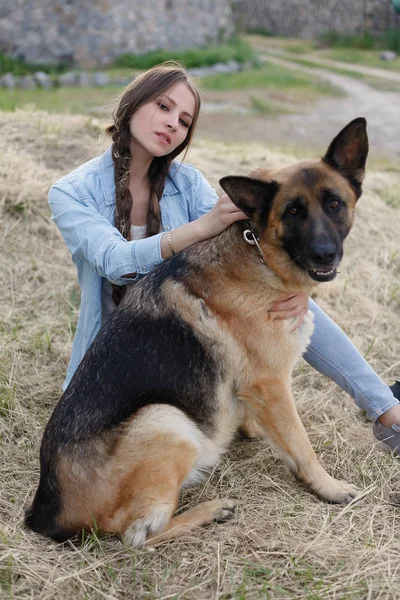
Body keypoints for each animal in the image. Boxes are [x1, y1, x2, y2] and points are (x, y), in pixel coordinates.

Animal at [25, 117, 368, 548]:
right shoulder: (271, 384)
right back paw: (210, 510)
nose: (325, 254)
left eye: (334, 203)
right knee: (138, 535)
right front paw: (329, 487)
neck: (258, 253)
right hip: (165, 419)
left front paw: (250, 428)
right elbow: (301, 444)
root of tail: (44, 511)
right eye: (293, 211)